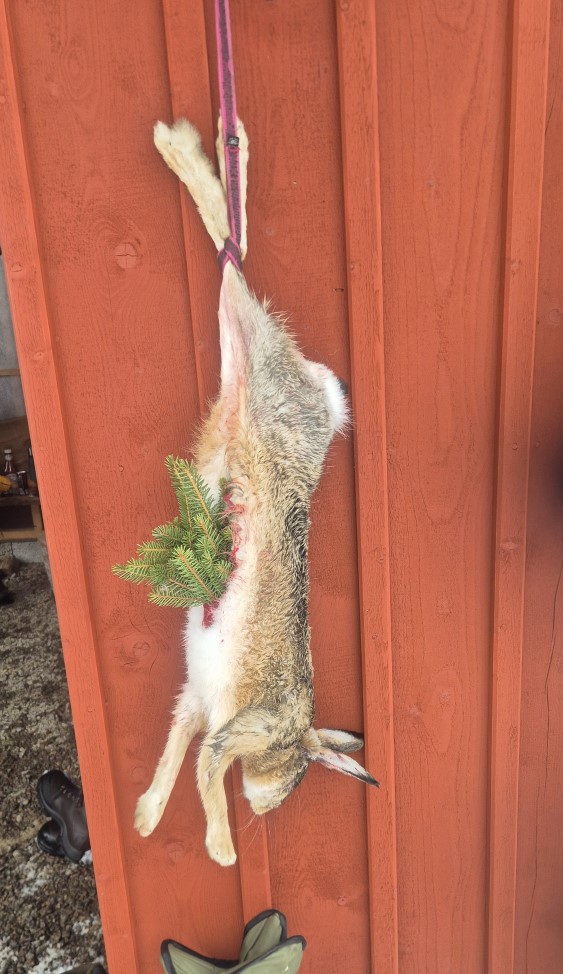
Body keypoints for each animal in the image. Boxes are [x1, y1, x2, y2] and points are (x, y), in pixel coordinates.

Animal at [133, 116, 378, 867]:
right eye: (297, 771)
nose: (266, 805)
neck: (295, 730)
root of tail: (322, 397)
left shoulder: (197, 705)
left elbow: (178, 751)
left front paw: (147, 817)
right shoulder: (246, 726)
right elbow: (207, 768)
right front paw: (220, 848)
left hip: (234, 390)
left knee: (229, 264)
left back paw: (196, 148)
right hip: (260, 377)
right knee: (233, 265)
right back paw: (191, 150)